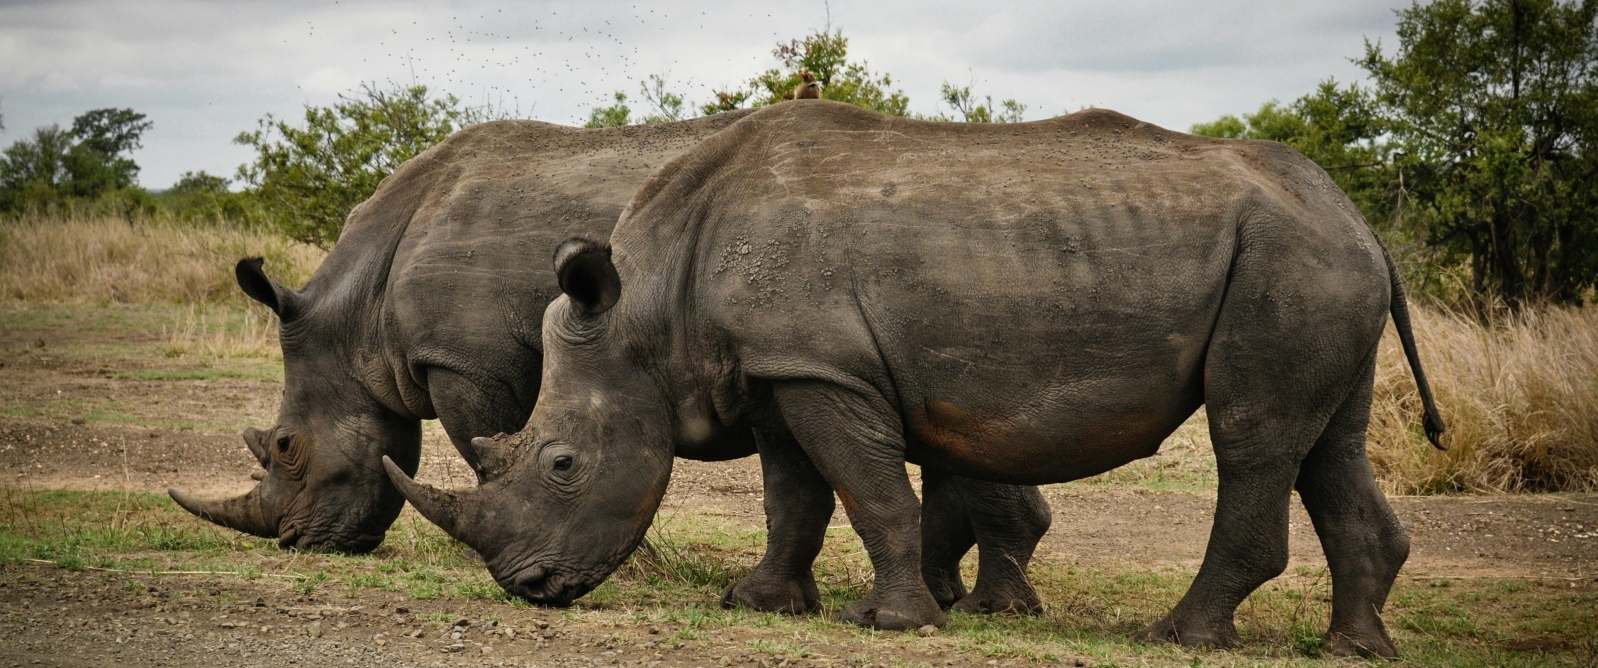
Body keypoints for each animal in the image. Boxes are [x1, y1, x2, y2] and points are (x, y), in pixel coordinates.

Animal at [169, 111, 1052, 615]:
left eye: (287, 448)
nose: (294, 542)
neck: (359, 313)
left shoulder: (465, 362)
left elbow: (489, 448)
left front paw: (636, 566)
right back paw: (964, 597)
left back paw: (978, 603)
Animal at [386, 101, 1446, 657]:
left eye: (561, 464)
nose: (529, 587)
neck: (649, 308)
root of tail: (1361, 222)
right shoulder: (782, 368)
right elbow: (794, 496)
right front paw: (759, 603)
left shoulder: (825, 370)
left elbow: (867, 489)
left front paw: (892, 622)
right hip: (1311, 265)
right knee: (1326, 442)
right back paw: (1354, 649)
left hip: (1289, 266)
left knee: (1251, 435)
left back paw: (1178, 635)